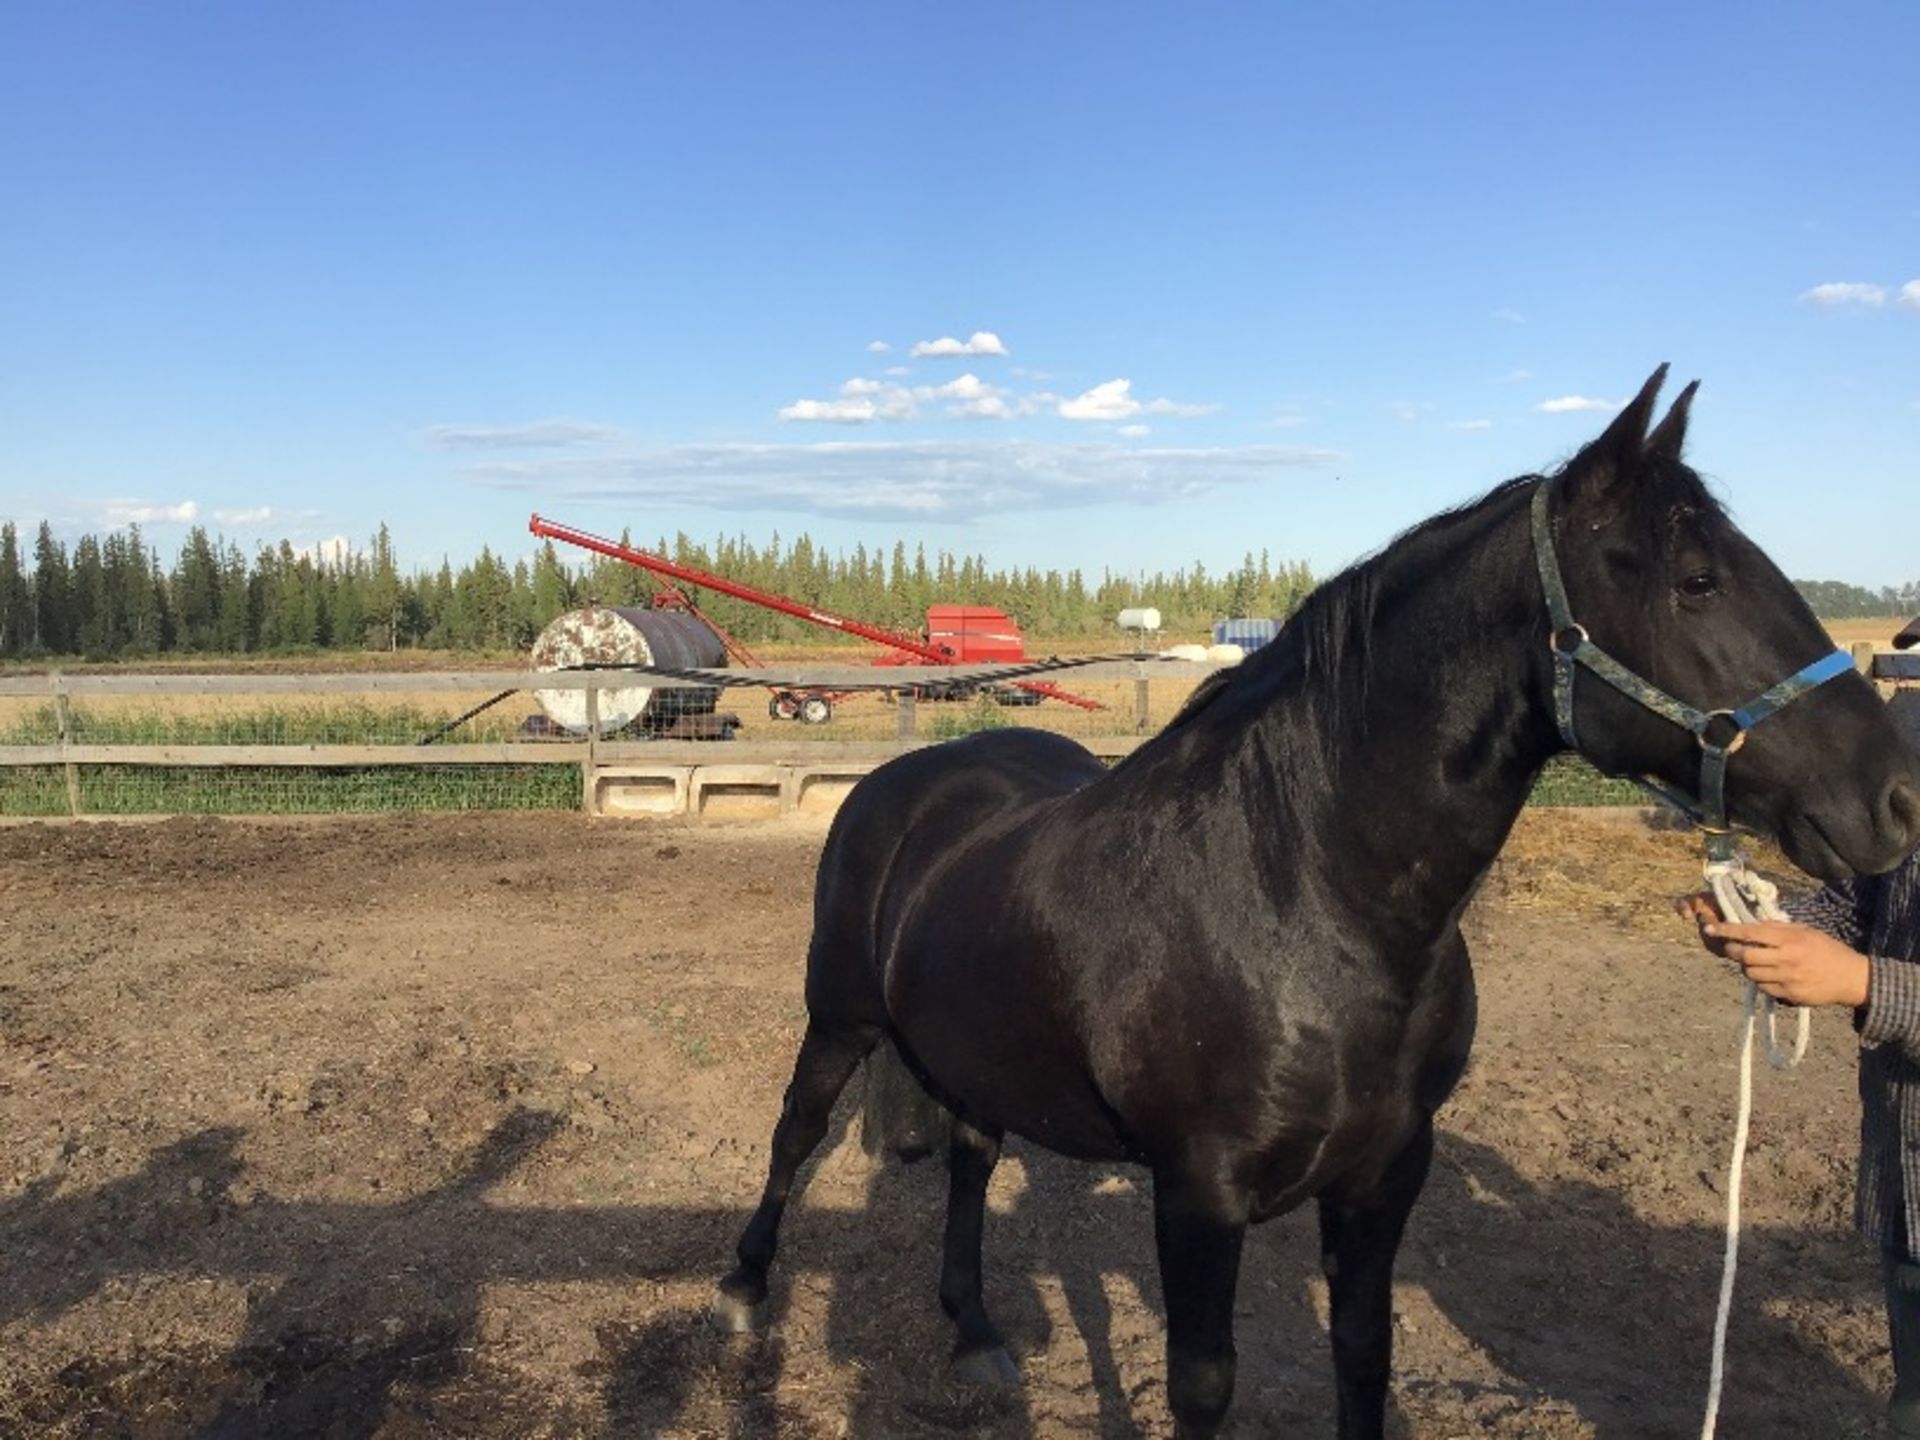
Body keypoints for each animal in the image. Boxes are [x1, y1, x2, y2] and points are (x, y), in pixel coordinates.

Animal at [710, 374, 1920, 1440]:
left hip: (975, 1045)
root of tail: (909, 777)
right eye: (1698, 580)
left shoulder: (1385, 1178)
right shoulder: (1198, 1196)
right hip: (840, 1021)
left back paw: (973, 1331)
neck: (1307, 905)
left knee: (970, 1154)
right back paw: (741, 1294)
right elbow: (1203, 1387)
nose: (1896, 797)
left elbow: (1363, 1358)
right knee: (794, 1133)